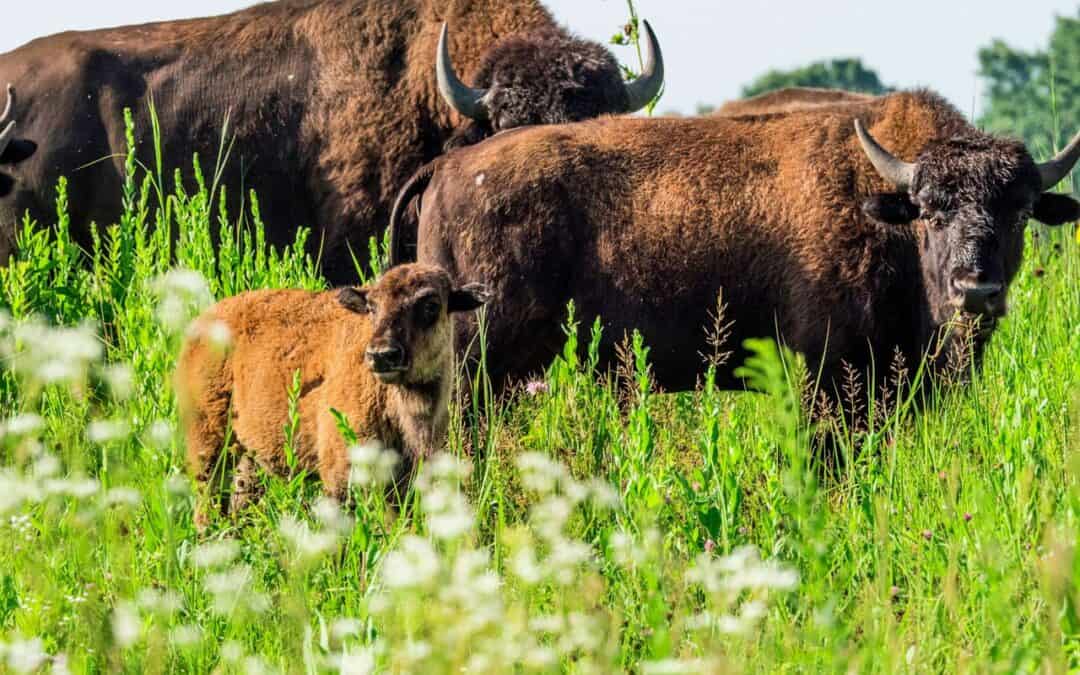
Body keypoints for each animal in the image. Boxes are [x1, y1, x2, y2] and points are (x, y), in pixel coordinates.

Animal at [177, 260, 490, 524]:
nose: (382, 355)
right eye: (372, 307)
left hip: (245, 455)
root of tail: (201, 324)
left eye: (431, 305)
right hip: (208, 445)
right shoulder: (340, 476)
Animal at [399, 90, 1080, 401]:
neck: (884, 206)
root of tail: (452, 167)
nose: (977, 290)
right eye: (931, 215)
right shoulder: (828, 378)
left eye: (1021, 213)